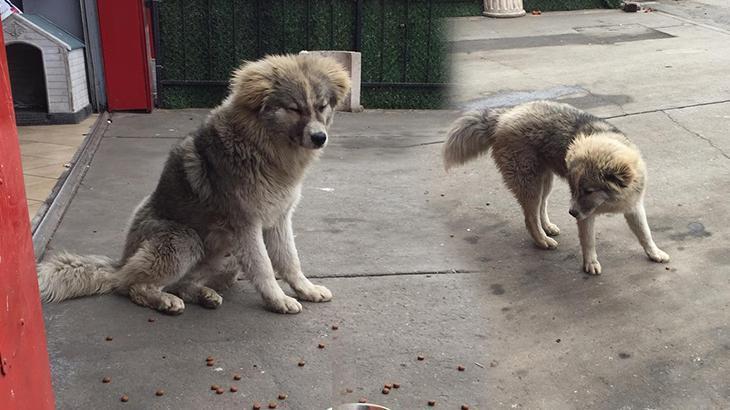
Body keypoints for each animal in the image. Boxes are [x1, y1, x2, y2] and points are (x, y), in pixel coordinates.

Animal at [38, 52, 352, 312]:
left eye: (321, 106)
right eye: (294, 108)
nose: (319, 137)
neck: (262, 147)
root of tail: (121, 261)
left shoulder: (279, 219)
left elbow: (290, 260)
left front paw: (306, 290)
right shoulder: (246, 225)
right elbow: (264, 267)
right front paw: (278, 300)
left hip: (228, 258)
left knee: (181, 285)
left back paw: (204, 294)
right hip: (184, 240)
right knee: (130, 286)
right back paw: (163, 300)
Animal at [440, 99, 668, 274]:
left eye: (588, 191)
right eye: (575, 189)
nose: (571, 213)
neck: (611, 200)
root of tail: (503, 116)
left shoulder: (633, 206)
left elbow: (645, 233)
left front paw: (654, 252)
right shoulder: (586, 215)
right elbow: (588, 240)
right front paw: (590, 262)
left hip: (544, 179)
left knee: (541, 206)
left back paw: (547, 227)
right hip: (528, 182)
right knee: (530, 217)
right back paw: (542, 240)